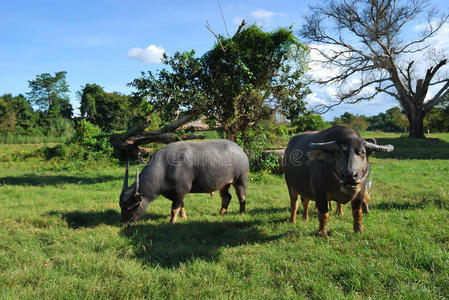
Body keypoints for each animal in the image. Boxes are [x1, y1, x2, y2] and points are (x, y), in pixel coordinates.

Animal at [119, 139, 248, 224]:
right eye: (121, 206)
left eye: (131, 207)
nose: (125, 223)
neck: (165, 170)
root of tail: (240, 151)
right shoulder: (177, 194)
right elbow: (181, 205)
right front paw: (184, 217)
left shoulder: (180, 191)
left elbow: (174, 209)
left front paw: (171, 222)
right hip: (224, 183)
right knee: (226, 197)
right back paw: (221, 213)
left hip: (240, 180)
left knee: (242, 196)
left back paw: (241, 212)